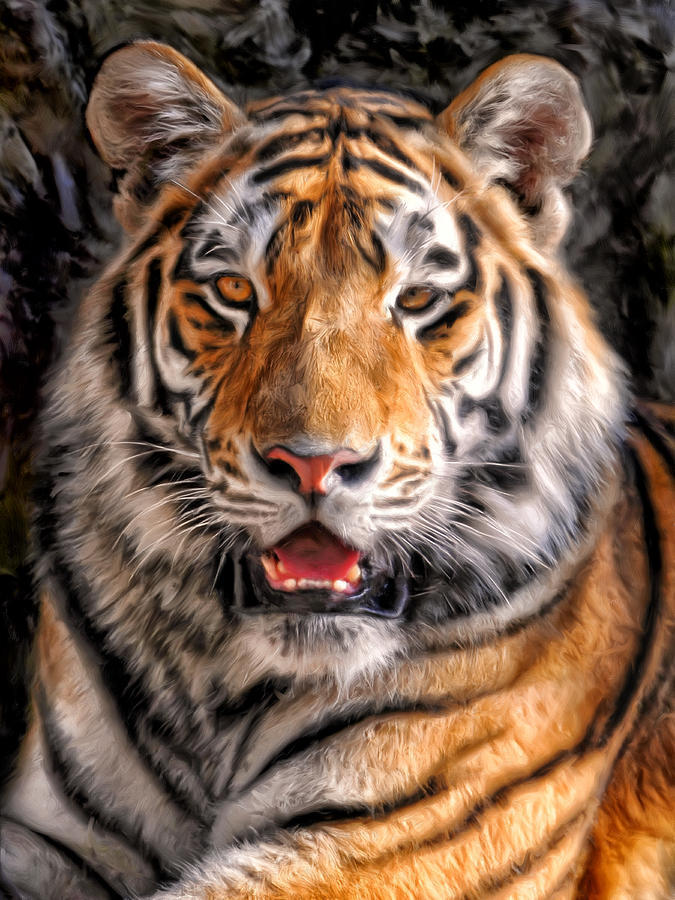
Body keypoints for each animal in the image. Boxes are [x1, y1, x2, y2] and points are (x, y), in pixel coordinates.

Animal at [0, 39, 673, 900]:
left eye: (417, 300)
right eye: (233, 290)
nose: (313, 463)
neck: (219, 694)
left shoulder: (393, 842)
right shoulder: (57, 834)